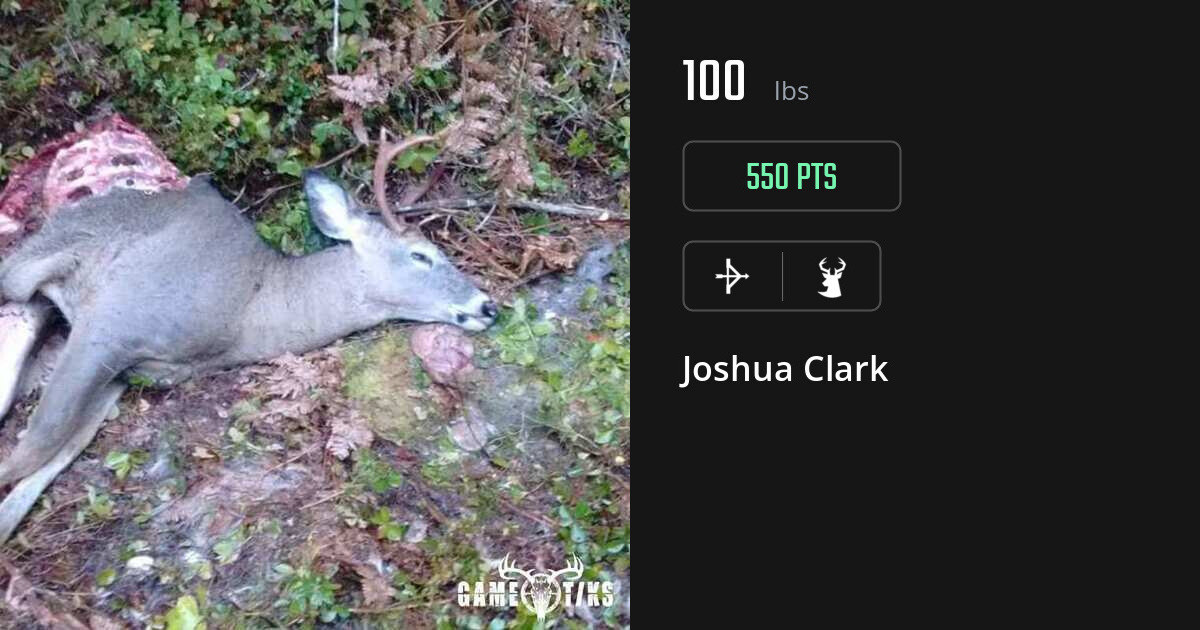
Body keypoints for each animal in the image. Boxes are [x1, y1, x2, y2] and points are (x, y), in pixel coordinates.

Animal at [0, 133, 497, 542]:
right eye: (421, 255)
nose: (488, 306)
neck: (249, 310)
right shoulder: (111, 322)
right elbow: (39, 439)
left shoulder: (131, 370)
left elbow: (54, 448)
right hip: (36, 262)